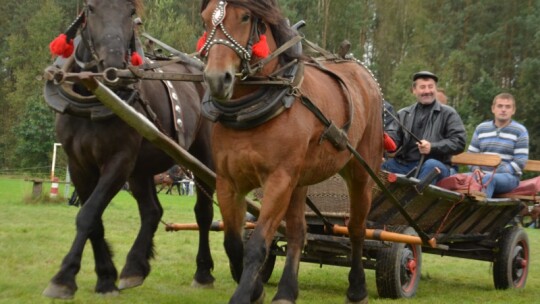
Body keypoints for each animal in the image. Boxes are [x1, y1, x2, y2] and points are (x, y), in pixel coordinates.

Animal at [42, 0, 215, 300]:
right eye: (91, 8)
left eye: (130, 12)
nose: (113, 68)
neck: (96, 97)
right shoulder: (79, 164)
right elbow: (94, 220)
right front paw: (105, 278)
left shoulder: (119, 161)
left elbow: (88, 214)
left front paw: (64, 277)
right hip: (142, 169)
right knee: (152, 211)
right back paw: (134, 267)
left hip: (202, 157)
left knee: (204, 212)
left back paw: (203, 272)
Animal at [201, 1, 384, 302]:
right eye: (205, 20)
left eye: (245, 16)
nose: (217, 79)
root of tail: (360, 70)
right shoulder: (228, 182)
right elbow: (233, 243)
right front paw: (257, 290)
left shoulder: (279, 180)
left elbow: (257, 245)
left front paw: (245, 294)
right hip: (300, 181)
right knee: (299, 231)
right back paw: (287, 290)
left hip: (361, 172)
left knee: (357, 228)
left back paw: (357, 288)